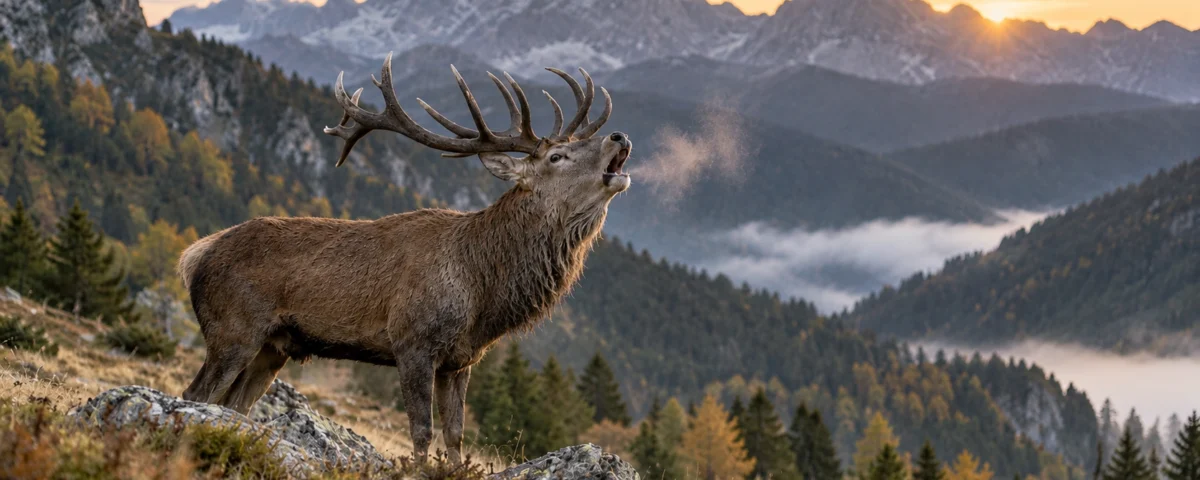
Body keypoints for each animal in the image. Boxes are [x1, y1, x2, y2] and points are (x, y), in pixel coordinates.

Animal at [176, 53, 631, 463]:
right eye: (557, 157)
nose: (618, 137)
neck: (480, 291)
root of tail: (195, 255)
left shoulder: (460, 360)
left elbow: (455, 436)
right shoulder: (412, 340)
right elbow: (421, 432)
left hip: (274, 346)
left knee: (234, 405)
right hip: (233, 328)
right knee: (195, 394)